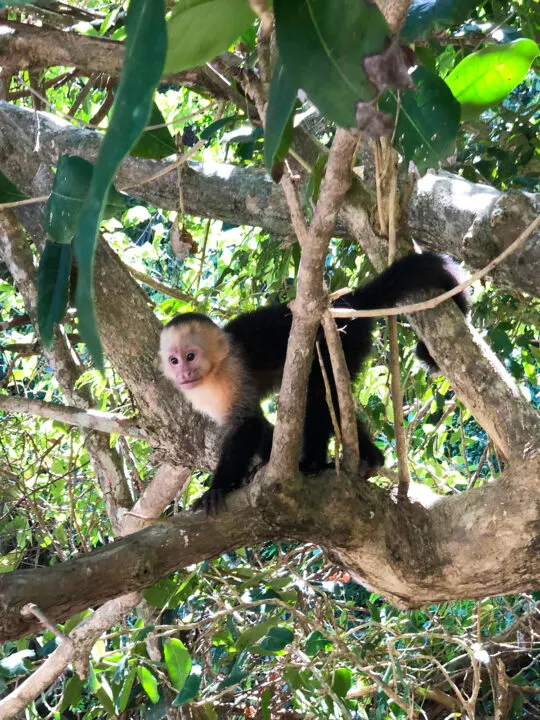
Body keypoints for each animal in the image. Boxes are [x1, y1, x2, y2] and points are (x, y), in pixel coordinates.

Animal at [158, 252, 466, 512]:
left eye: (190, 356)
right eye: (173, 360)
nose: (184, 374)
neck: (213, 371)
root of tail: (347, 302)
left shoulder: (230, 374)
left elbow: (248, 424)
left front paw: (218, 488)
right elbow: (259, 424)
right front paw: (259, 468)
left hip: (340, 339)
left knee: (317, 394)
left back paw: (316, 464)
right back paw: (370, 460)